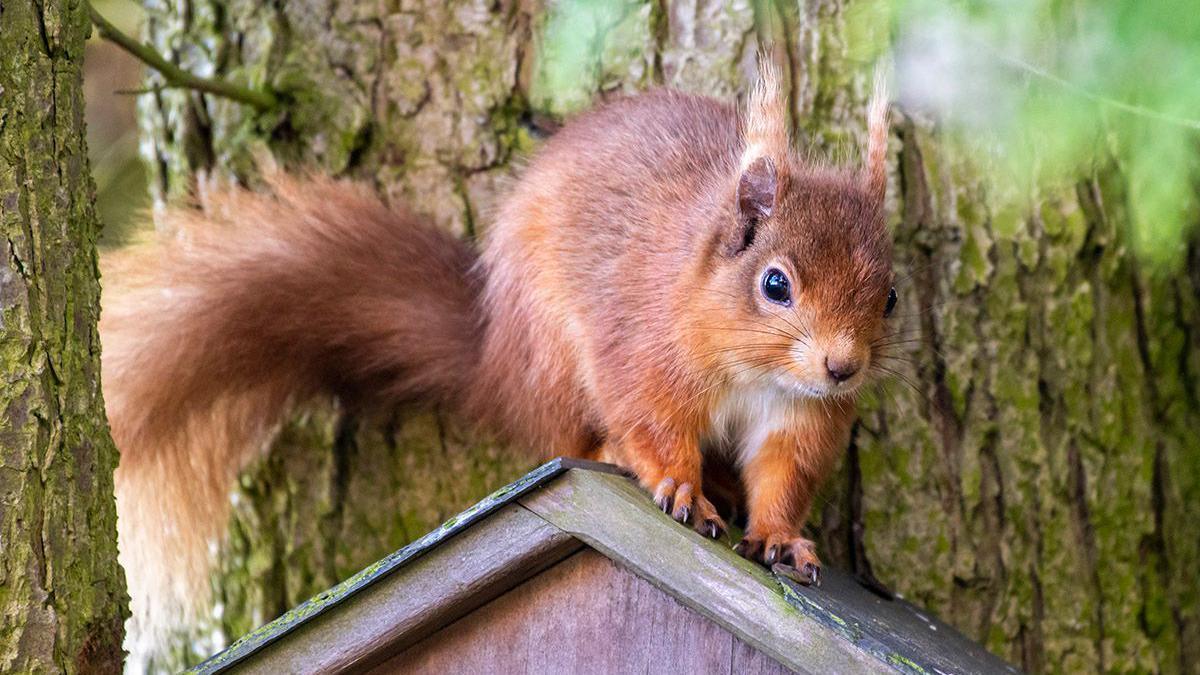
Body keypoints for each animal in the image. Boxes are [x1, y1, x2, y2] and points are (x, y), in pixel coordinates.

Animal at [100, 63, 892, 638]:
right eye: (775, 283)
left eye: (888, 296)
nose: (842, 367)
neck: (756, 372)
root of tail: (496, 359)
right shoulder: (639, 351)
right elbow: (652, 423)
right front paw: (679, 485)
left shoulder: (802, 418)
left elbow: (783, 475)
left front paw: (782, 538)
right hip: (550, 359)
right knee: (566, 432)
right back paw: (622, 456)